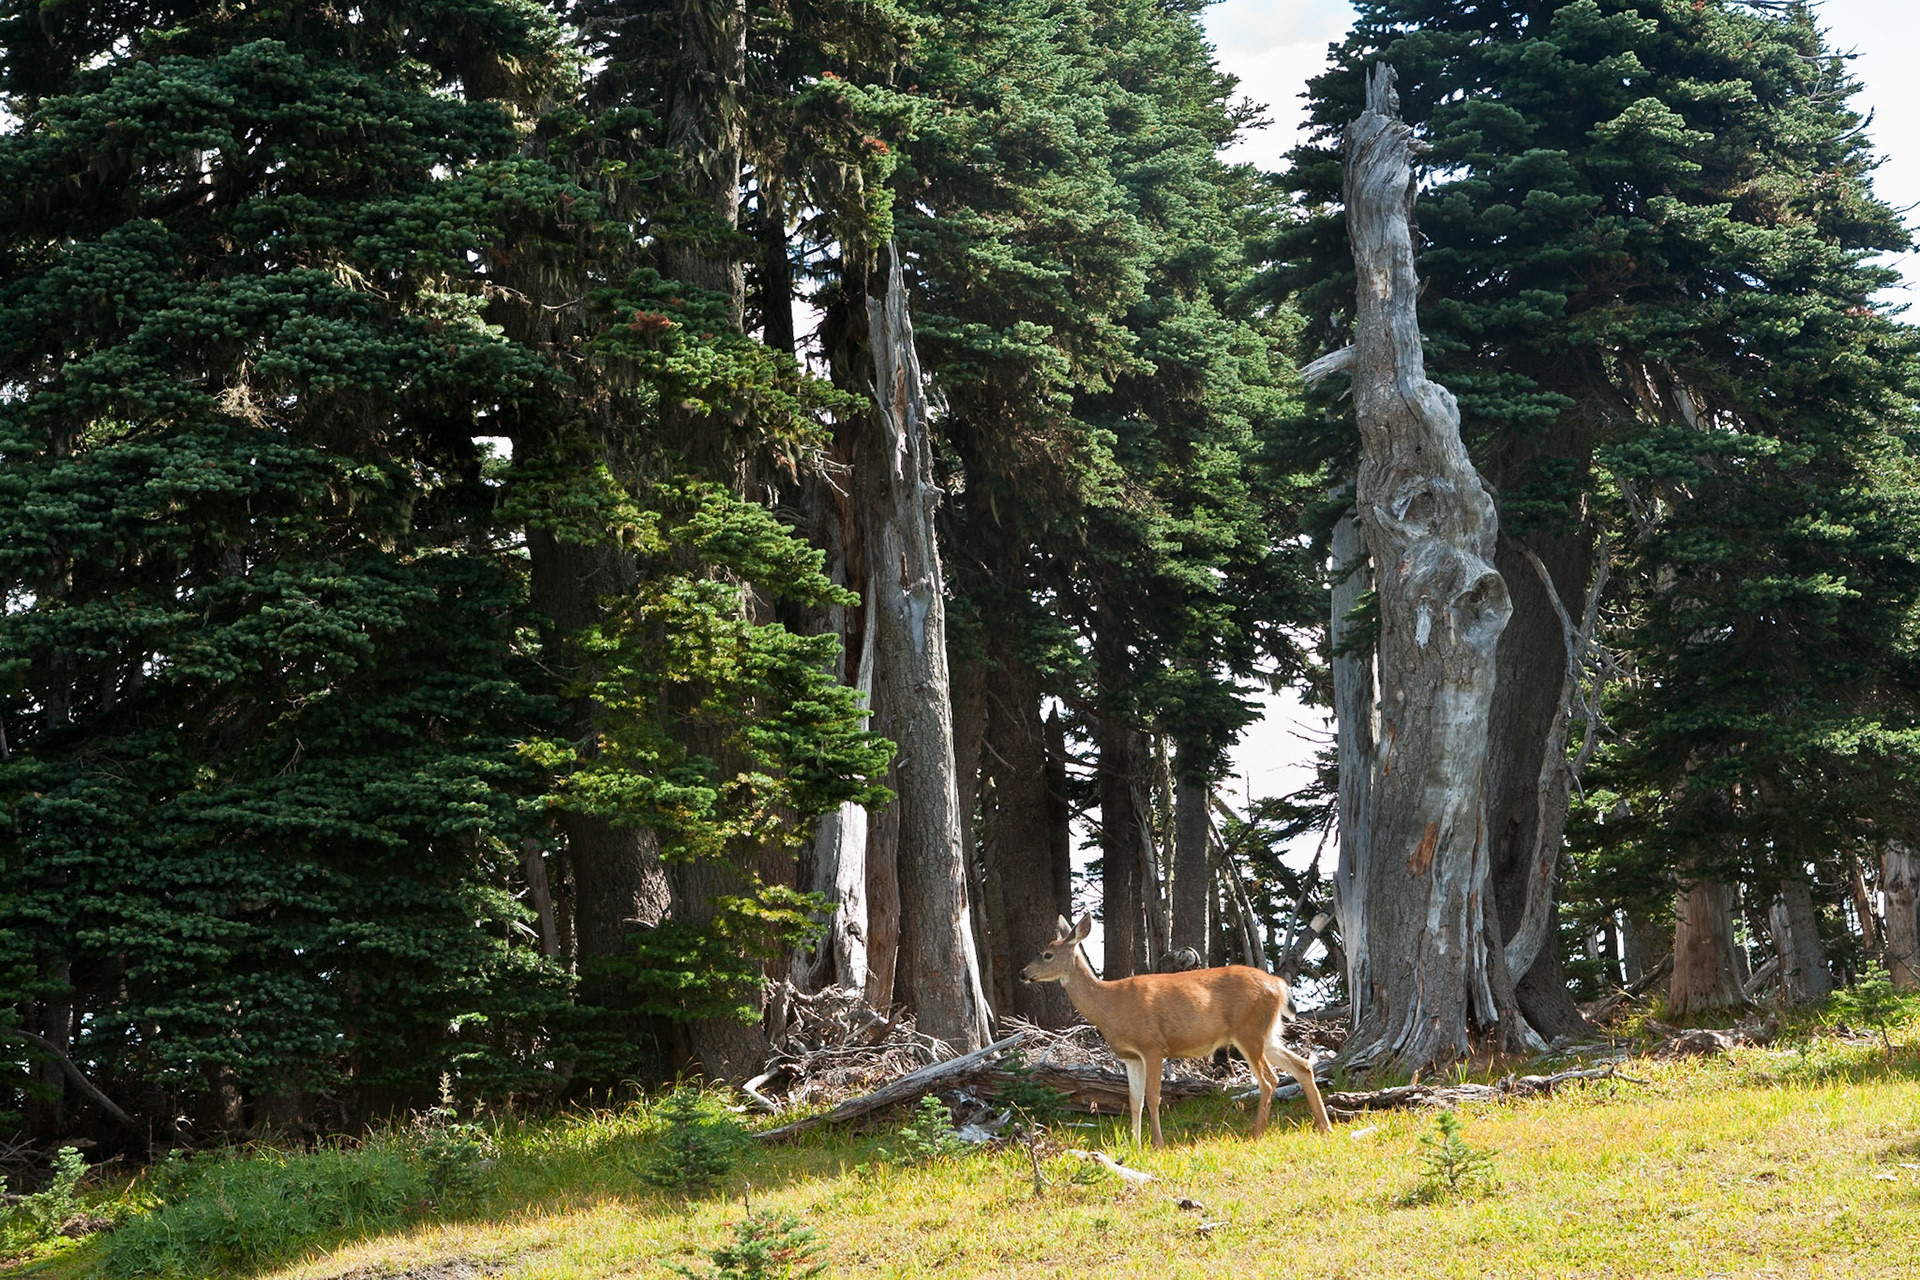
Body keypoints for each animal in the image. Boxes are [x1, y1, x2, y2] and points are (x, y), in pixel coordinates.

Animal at [1020, 915, 1333, 1146]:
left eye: (1047, 954)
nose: (1023, 973)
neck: (1111, 1006)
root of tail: (1280, 985)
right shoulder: (1130, 1056)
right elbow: (1134, 1100)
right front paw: (1134, 1144)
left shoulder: (1153, 1045)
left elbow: (1153, 1096)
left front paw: (1157, 1143)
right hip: (1267, 1032)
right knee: (1302, 1065)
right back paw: (1324, 1126)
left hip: (1249, 1029)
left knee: (1269, 1079)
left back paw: (1256, 1134)